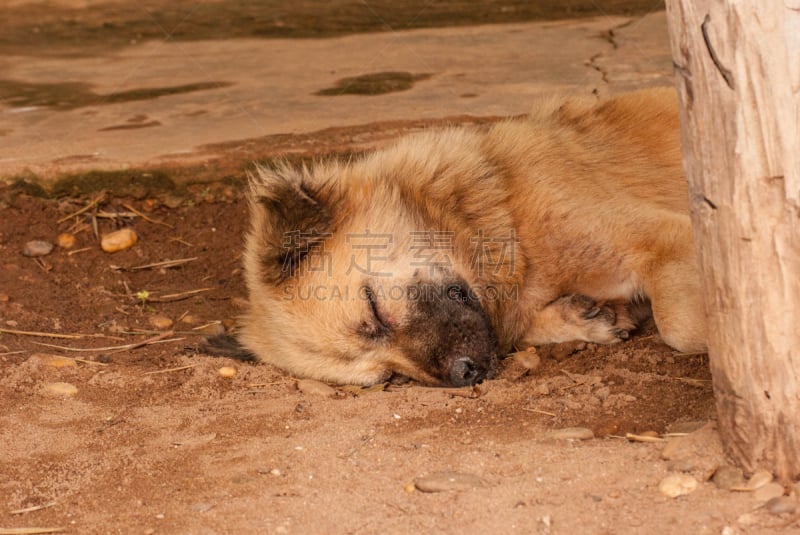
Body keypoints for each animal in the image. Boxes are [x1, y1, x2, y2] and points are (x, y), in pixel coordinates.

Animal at [231, 90, 708, 388]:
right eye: (388, 376)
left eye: (374, 311)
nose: (465, 375)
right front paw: (583, 317)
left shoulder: (670, 235)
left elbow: (680, 326)